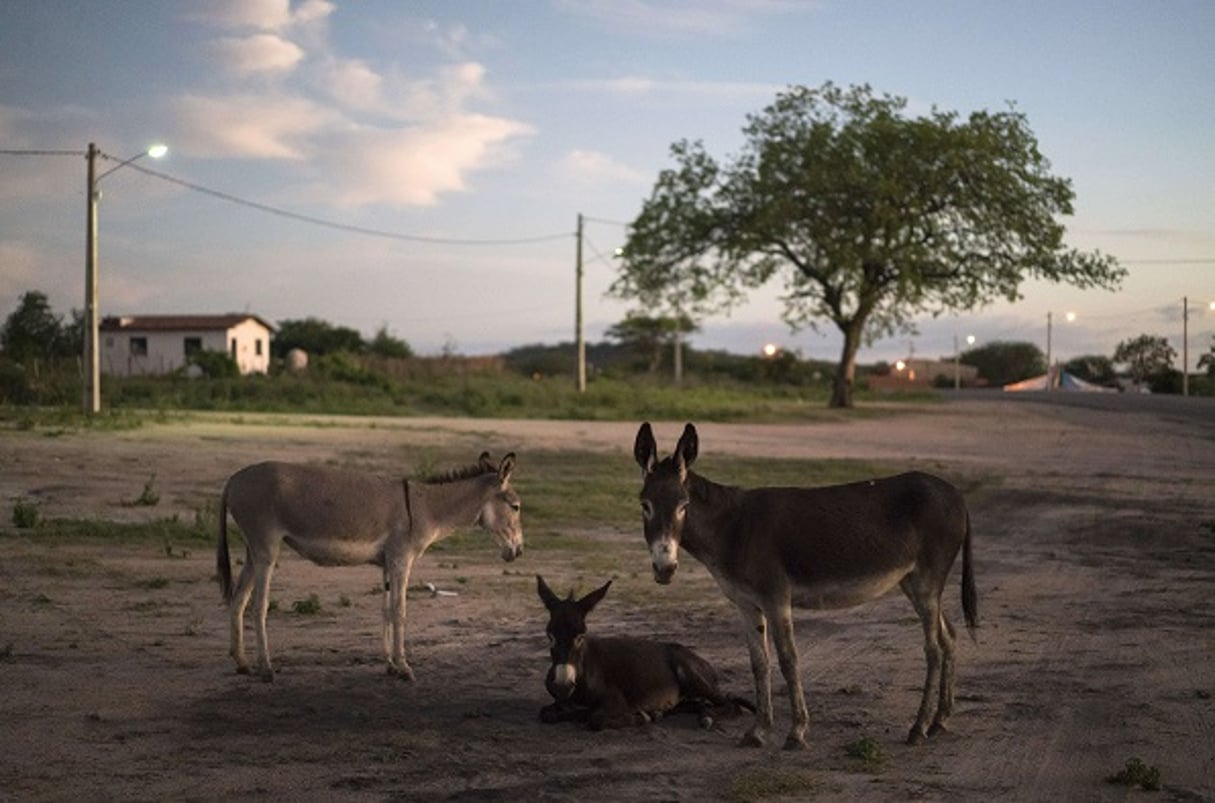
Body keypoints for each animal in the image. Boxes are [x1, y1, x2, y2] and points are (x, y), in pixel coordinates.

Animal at [539, 573, 748, 728]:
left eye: (581, 636)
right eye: (550, 635)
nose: (563, 685)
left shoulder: (615, 700)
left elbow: (595, 719)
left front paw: (640, 717)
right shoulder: (558, 701)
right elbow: (546, 713)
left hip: (691, 675)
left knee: (731, 704)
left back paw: (705, 717)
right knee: (697, 704)